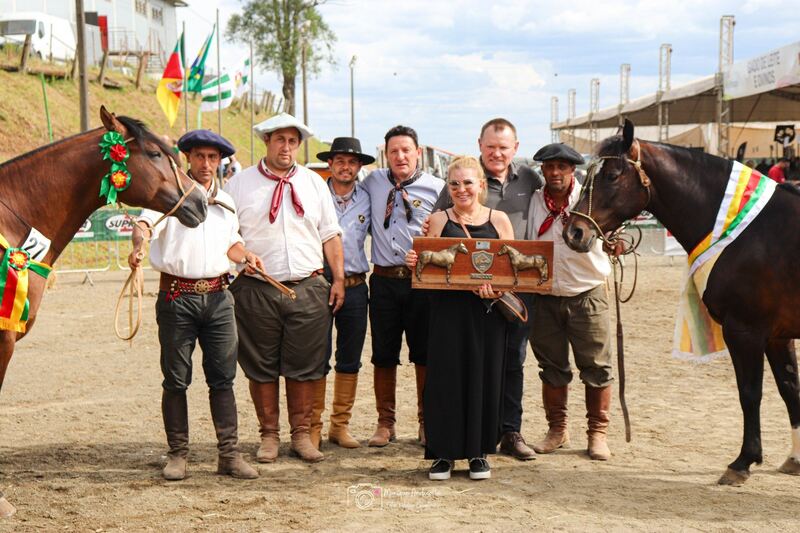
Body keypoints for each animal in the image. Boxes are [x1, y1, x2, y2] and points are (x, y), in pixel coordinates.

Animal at [564, 120, 800, 486]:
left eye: (613, 175)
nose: (574, 232)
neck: (757, 233)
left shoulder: (746, 331)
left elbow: (750, 393)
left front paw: (742, 462)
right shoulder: (778, 335)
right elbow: (790, 389)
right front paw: (795, 458)